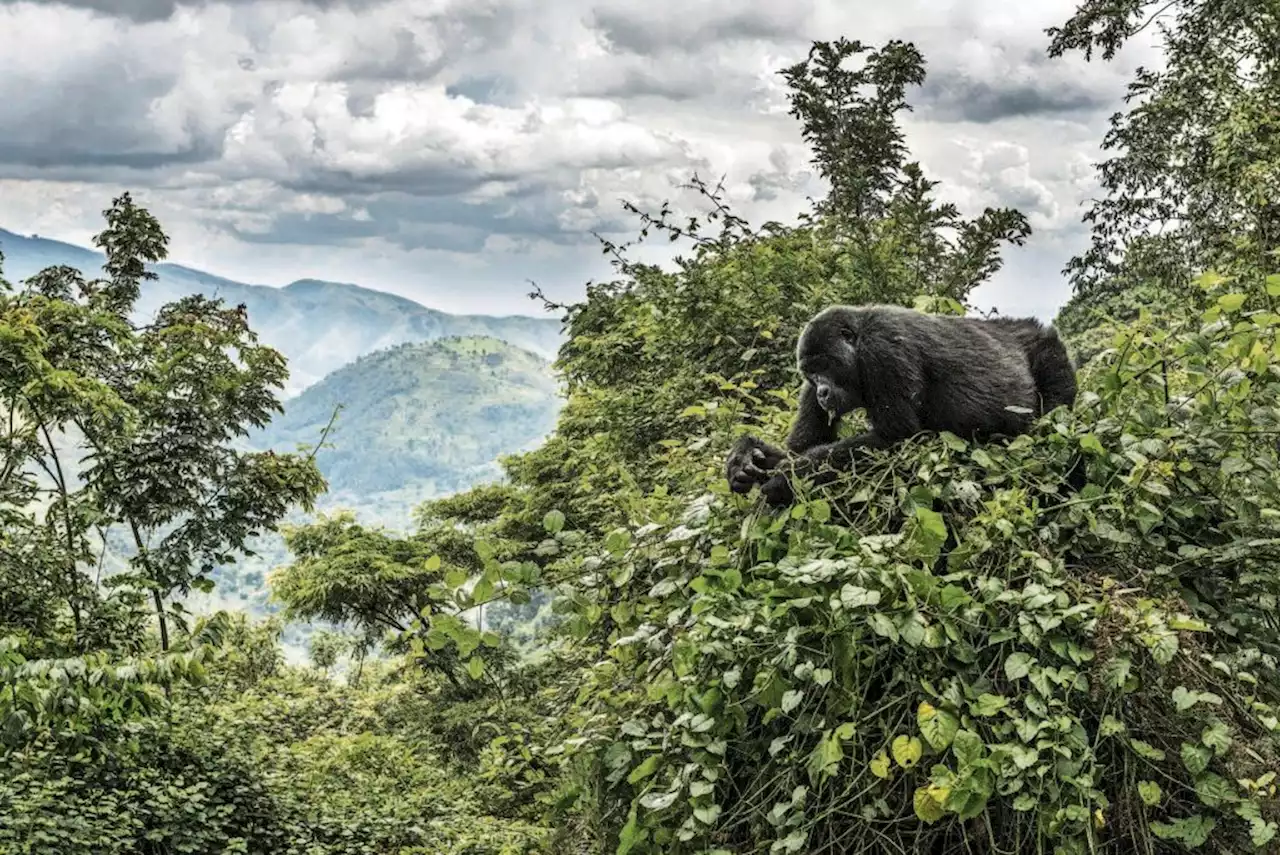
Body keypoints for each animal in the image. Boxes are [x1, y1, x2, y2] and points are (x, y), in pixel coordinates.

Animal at [727, 302, 1075, 506]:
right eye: (810, 373)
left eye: (825, 366)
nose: (823, 392)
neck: (857, 338)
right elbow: (802, 445)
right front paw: (746, 456)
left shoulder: (883, 349)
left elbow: (898, 439)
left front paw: (788, 478)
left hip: (1049, 354)